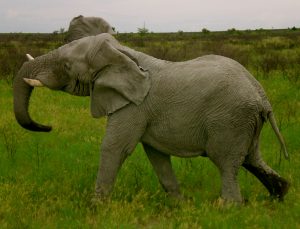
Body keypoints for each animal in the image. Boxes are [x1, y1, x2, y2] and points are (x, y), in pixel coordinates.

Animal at [12, 32, 290, 202]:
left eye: (67, 66)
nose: (48, 127)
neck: (123, 52)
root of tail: (262, 97)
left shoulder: (134, 105)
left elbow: (115, 148)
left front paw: (95, 207)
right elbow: (156, 155)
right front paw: (179, 205)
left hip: (229, 119)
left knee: (225, 161)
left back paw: (228, 207)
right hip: (245, 121)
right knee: (251, 159)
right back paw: (278, 197)